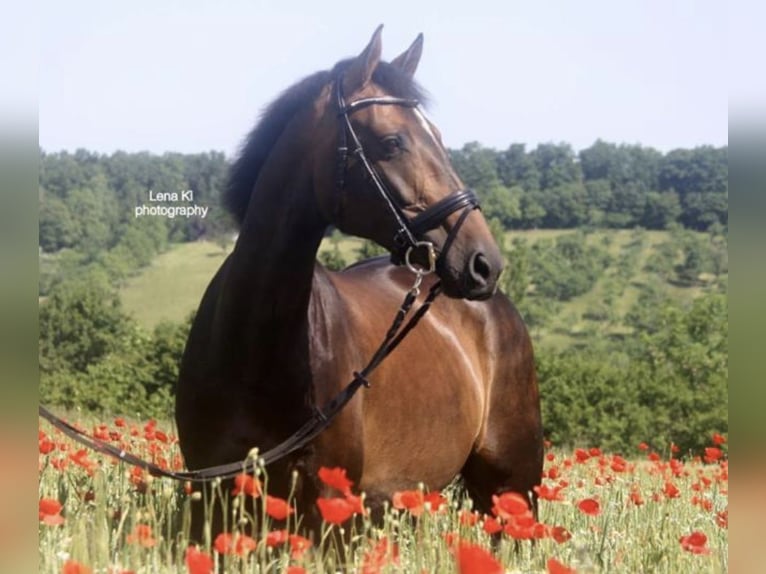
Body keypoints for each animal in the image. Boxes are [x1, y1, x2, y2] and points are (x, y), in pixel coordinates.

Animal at [176, 23, 544, 544]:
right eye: (392, 142)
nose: (483, 263)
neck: (252, 348)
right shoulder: (212, 504)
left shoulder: (329, 510)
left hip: (512, 493)